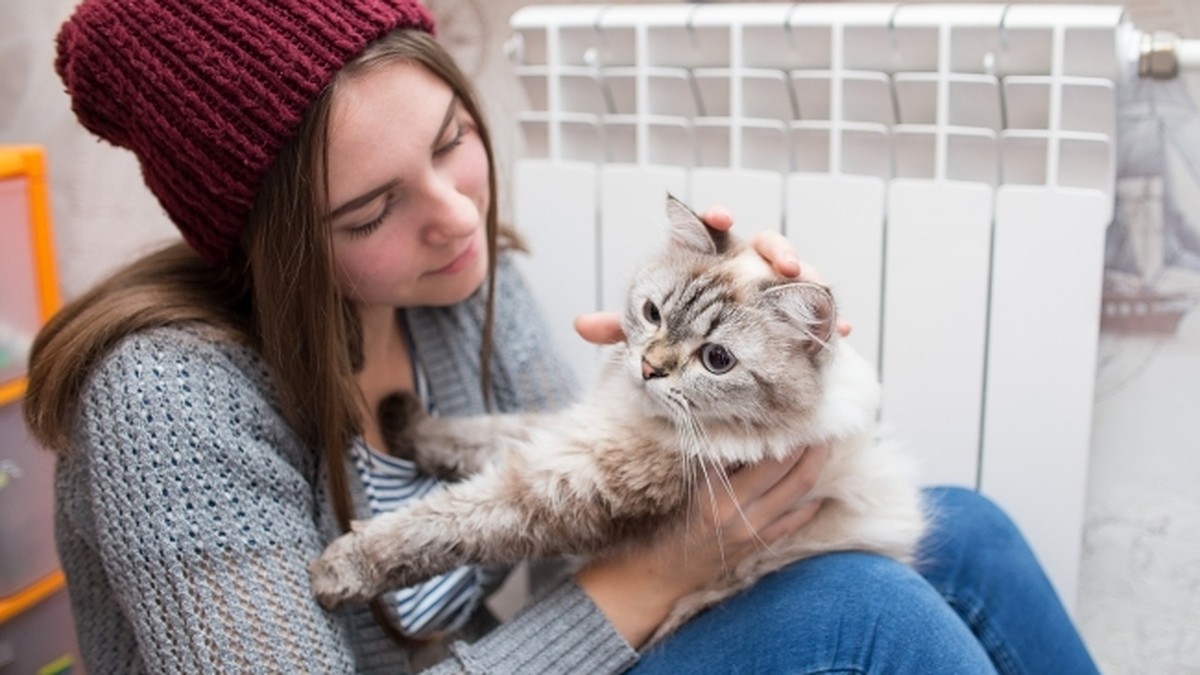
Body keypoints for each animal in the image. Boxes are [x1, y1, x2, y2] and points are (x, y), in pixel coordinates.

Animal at [312, 194, 926, 638]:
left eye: (717, 360)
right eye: (652, 313)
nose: (650, 368)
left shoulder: (560, 489)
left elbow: (437, 526)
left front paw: (339, 571)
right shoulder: (567, 433)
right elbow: (467, 436)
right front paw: (399, 420)